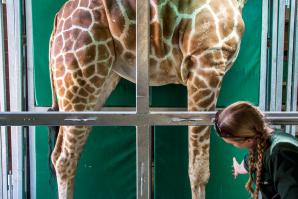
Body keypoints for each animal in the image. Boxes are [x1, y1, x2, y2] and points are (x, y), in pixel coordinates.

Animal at [48, 0, 244, 198]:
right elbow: (199, 170)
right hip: (80, 73)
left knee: (59, 153)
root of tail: (57, 19)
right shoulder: (206, 61)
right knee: (65, 159)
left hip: (98, 79)